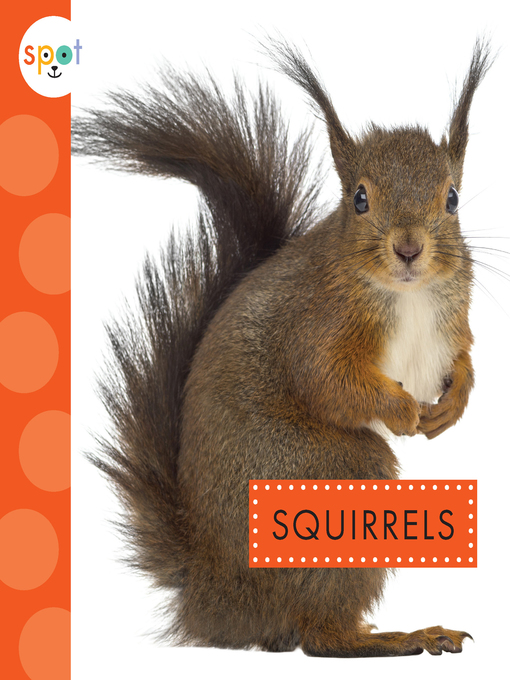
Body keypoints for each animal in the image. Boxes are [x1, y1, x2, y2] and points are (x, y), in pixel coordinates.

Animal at [72, 38, 491, 657]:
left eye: (453, 198)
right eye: (359, 199)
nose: (410, 249)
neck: (405, 293)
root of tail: (218, 597)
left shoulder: (452, 319)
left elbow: (461, 361)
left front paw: (450, 407)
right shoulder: (314, 325)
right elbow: (327, 383)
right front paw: (402, 410)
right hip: (333, 476)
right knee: (319, 639)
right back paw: (398, 636)